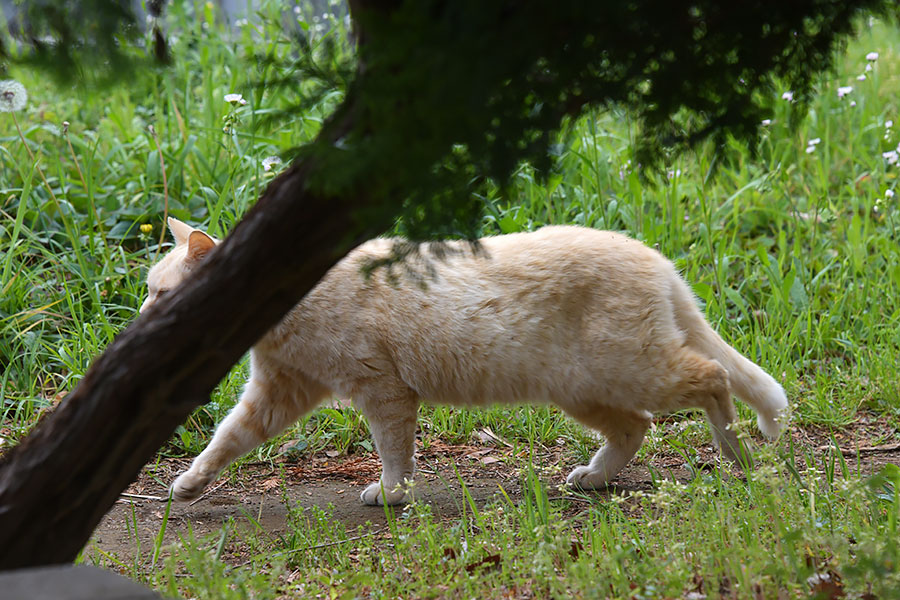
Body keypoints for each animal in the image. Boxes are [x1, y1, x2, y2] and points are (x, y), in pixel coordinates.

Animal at [142, 218, 788, 504]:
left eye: (164, 294)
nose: (141, 324)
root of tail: (657, 259)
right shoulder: (279, 392)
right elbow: (227, 438)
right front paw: (192, 482)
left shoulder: (383, 391)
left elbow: (394, 450)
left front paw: (392, 493)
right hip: (582, 387)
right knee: (636, 427)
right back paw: (594, 476)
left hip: (633, 369)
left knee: (714, 379)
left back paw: (738, 452)